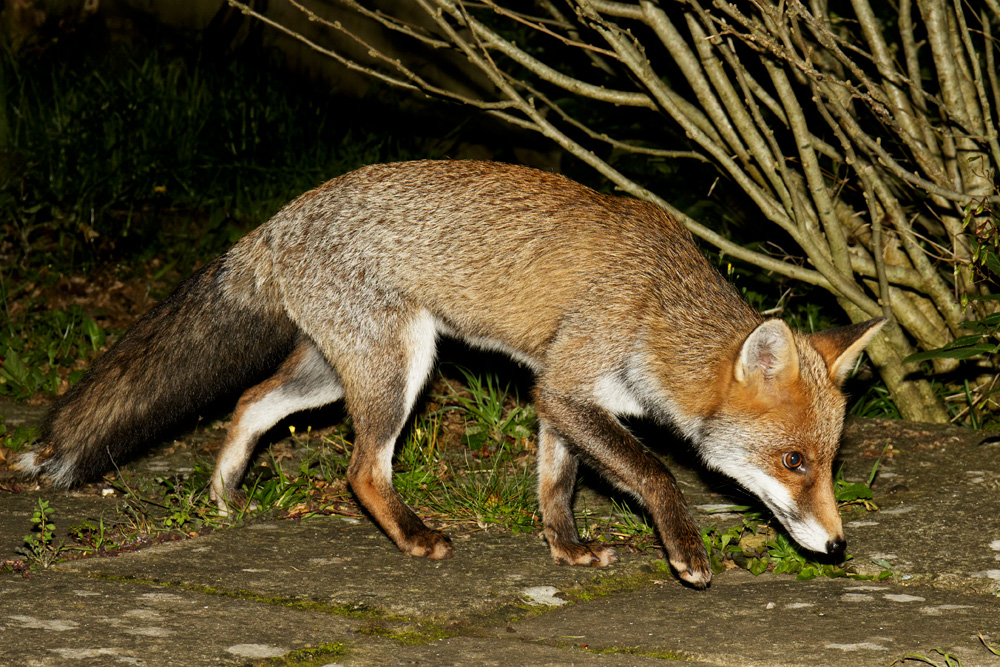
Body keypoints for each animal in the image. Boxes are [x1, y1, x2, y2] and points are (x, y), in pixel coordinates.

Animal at [17, 160, 885, 588]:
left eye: (829, 463)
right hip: (399, 369)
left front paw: (567, 551)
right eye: (795, 461)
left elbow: (555, 484)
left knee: (252, 399)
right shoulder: (569, 385)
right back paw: (414, 535)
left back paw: (226, 489)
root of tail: (281, 216)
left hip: (338, 371)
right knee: (361, 469)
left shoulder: (562, 398)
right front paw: (686, 555)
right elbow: (654, 471)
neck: (652, 308)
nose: (840, 544)